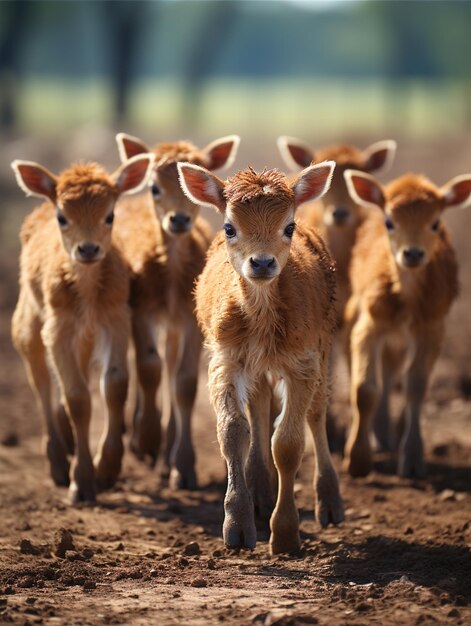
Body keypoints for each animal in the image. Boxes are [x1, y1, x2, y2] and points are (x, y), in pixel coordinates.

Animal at [11, 154, 153, 500]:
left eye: (110, 215)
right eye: (62, 217)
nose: (88, 249)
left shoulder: (116, 319)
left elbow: (115, 386)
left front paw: (107, 470)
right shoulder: (58, 328)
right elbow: (78, 397)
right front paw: (82, 481)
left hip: (85, 336)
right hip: (28, 322)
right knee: (40, 381)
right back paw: (58, 462)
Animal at [113, 132, 240, 488]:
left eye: (188, 191)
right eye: (154, 187)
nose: (179, 220)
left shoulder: (190, 317)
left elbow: (183, 381)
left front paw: (183, 467)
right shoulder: (141, 307)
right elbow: (147, 367)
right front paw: (147, 439)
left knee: (170, 366)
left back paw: (167, 455)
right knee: (144, 361)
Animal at [179, 160, 344, 552]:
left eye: (289, 226)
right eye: (229, 227)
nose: (263, 262)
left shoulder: (303, 362)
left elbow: (288, 442)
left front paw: (284, 534)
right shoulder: (225, 358)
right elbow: (232, 430)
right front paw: (238, 527)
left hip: (324, 344)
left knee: (316, 413)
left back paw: (329, 503)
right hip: (257, 367)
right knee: (259, 405)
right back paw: (260, 493)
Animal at [342, 168, 471, 476]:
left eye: (435, 223)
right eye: (390, 222)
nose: (412, 253)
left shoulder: (432, 328)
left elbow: (416, 386)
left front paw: (412, 459)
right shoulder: (369, 322)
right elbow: (364, 388)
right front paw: (358, 459)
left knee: (395, 368)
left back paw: (392, 432)